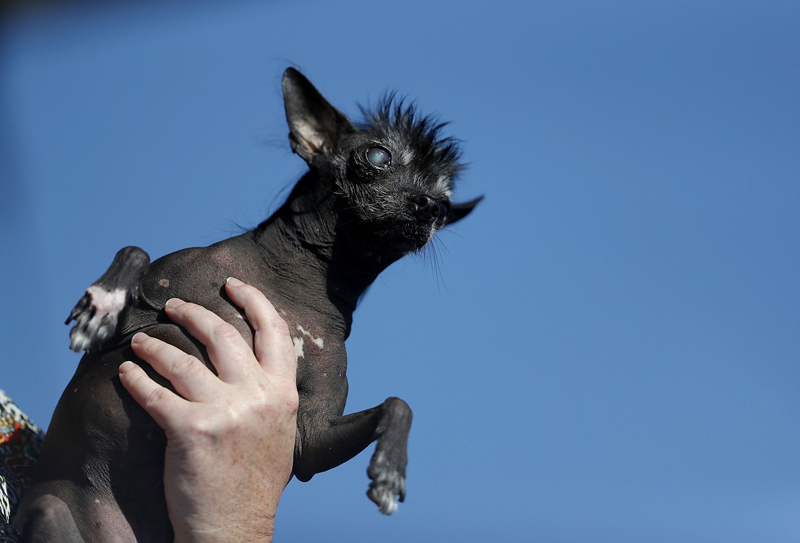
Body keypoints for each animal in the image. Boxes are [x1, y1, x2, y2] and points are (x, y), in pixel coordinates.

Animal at [15, 69, 478, 543]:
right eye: (378, 155)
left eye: (445, 204)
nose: (429, 207)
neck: (292, 285)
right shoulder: (124, 330)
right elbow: (136, 251)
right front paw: (101, 304)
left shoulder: (307, 440)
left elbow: (398, 403)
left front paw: (389, 470)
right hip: (49, 507)